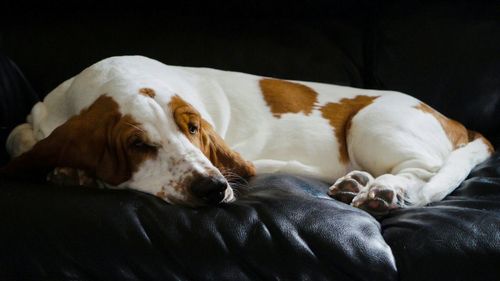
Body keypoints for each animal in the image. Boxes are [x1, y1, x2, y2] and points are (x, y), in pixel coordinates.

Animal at [0, 56, 492, 214]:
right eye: (137, 145)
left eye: (193, 128)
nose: (213, 189)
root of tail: (458, 123)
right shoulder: (36, 119)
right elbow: (21, 138)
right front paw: (71, 172)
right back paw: (358, 183)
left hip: (370, 125)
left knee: (422, 172)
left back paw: (382, 189)